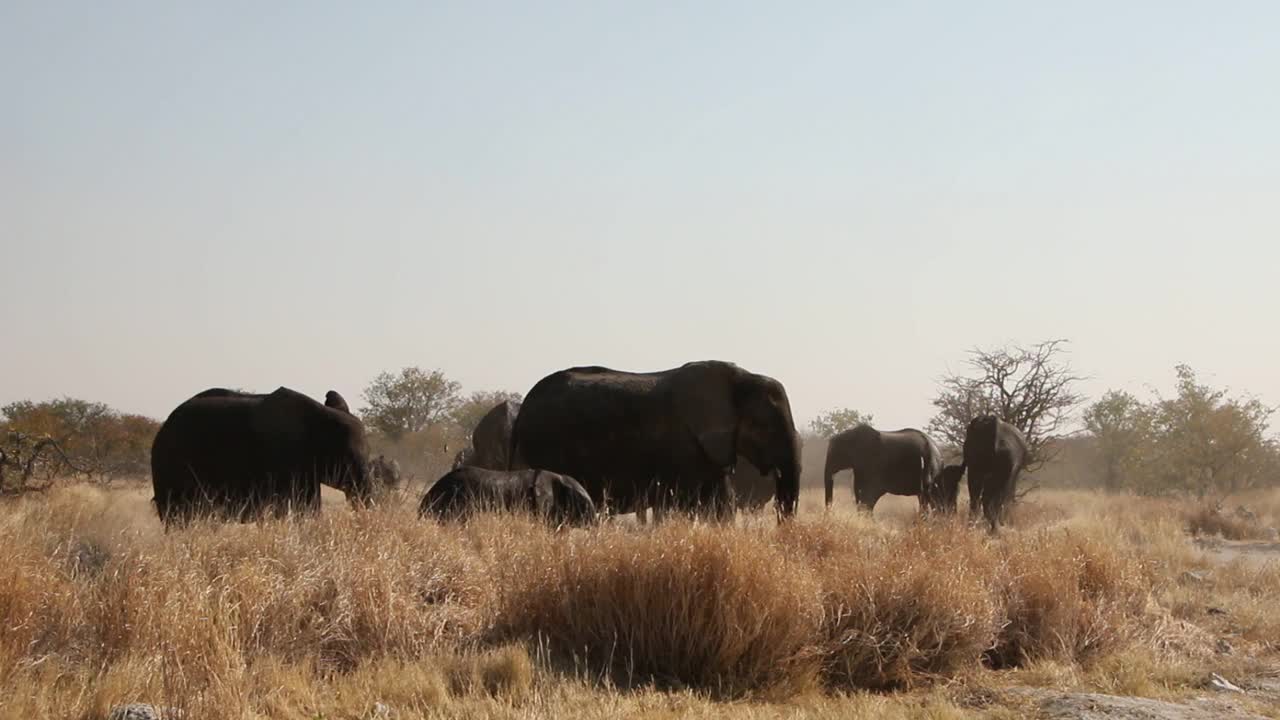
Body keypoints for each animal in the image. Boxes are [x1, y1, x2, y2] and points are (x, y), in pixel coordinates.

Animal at [819, 422, 952, 512]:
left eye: (835, 454)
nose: (829, 512)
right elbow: (861, 492)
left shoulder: (870, 462)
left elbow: (867, 492)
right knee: (932, 497)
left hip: (929, 467)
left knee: (927, 496)